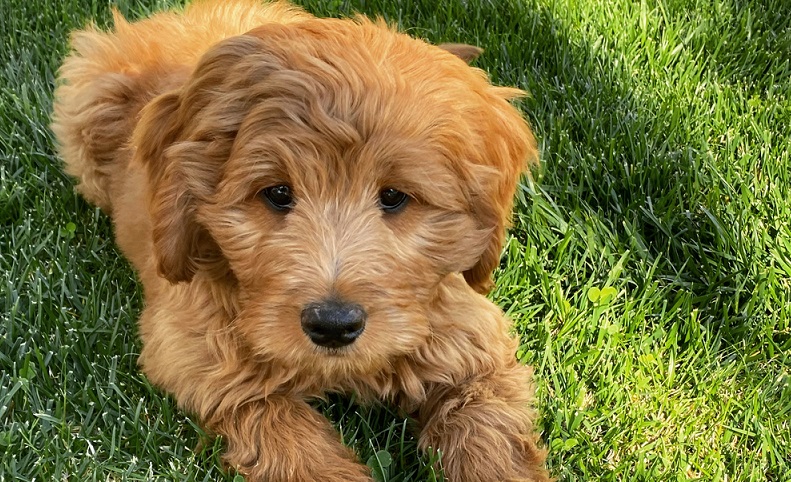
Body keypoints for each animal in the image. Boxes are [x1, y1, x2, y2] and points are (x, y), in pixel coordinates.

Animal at [52, 1, 552, 480]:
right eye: (277, 193)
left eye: (394, 196)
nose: (333, 324)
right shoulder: (197, 348)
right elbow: (284, 433)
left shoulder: (468, 334)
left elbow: (487, 425)